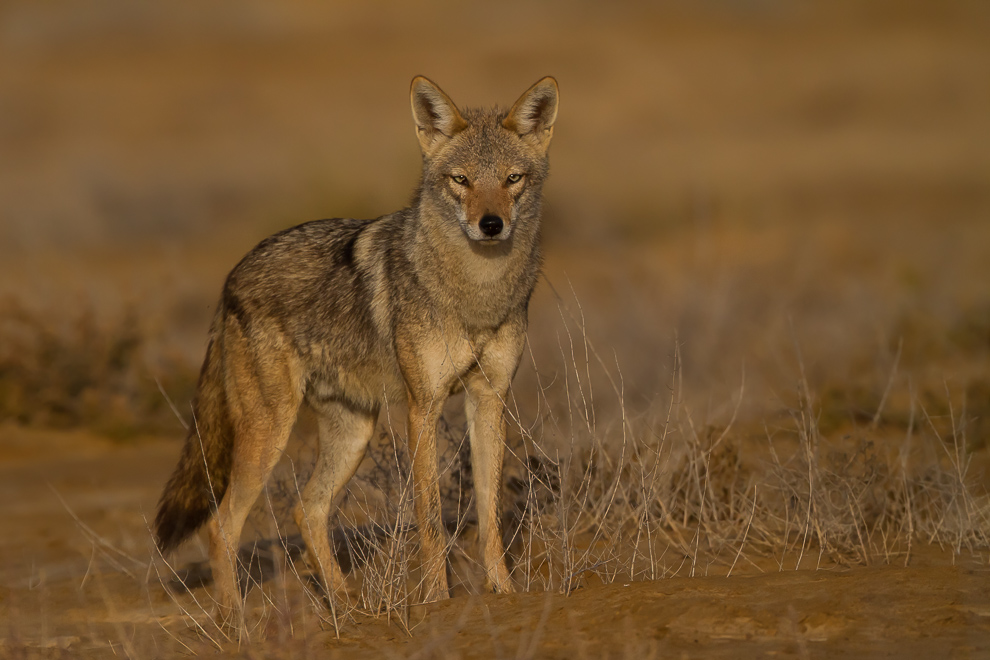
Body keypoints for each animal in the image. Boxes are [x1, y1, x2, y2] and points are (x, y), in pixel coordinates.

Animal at [153, 75, 560, 620]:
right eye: (461, 180)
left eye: (513, 178)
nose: (490, 224)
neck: (475, 294)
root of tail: (230, 279)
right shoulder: (423, 406)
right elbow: (430, 518)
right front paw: (437, 600)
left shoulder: (489, 400)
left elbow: (491, 516)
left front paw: (505, 593)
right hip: (271, 431)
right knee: (222, 527)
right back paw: (236, 624)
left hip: (354, 433)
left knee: (306, 510)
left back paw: (347, 606)